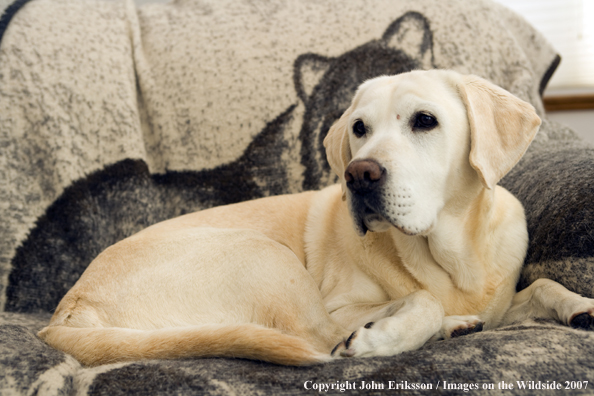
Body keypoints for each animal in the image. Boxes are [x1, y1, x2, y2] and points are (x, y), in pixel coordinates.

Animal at [35, 70, 592, 366]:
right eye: (359, 128)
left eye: (425, 121)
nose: (358, 174)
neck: (452, 256)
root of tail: (68, 310)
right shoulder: (343, 304)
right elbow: (422, 299)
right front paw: (386, 335)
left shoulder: (502, 298)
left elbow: (542, 286)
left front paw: (579, 305)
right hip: (264, 255)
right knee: (316, 337)